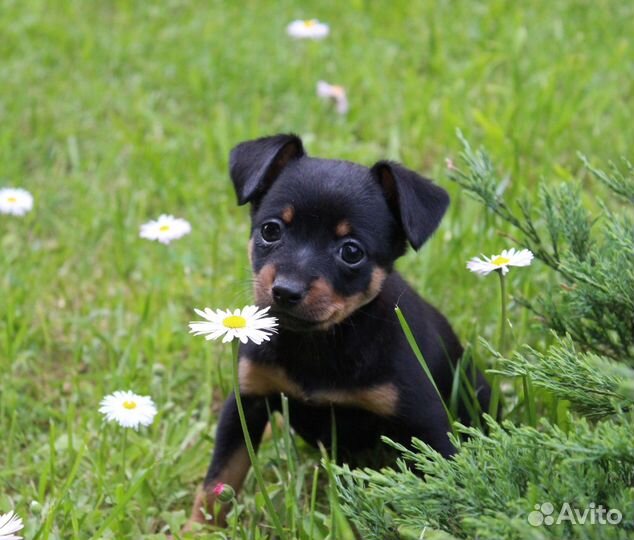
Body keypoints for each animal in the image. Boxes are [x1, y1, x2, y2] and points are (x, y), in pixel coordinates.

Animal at [188, 135, 488, 528]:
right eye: (271, 230)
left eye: (351, 252)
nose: (285, 290)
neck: (318, 344)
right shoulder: (246, 403)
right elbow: (218, 481)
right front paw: (197, 530)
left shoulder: (427, 423)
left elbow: (447, 483)